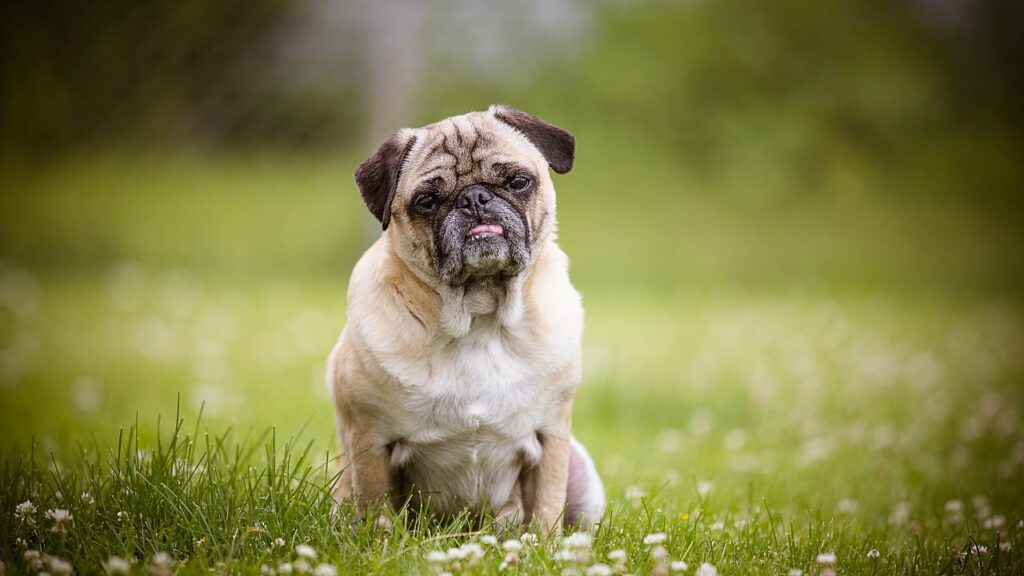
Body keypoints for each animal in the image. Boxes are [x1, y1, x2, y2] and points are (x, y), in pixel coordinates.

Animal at [327, 104, 602, 532]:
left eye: (519, 181)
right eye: (426, 201)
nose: (474, 198)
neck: (479, 317)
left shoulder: (551, 436)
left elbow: (545, 507)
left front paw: (545, 544)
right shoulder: (371, 442)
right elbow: (378, 512)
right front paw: (379, 540)